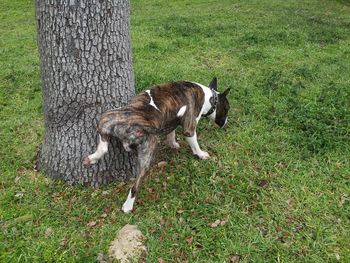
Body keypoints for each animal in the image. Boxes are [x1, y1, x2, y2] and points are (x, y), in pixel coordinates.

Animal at [82, 77, 230, 213]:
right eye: (227, 108)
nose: (226, 123)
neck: (208, 96)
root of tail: (134, 124)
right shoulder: (190, 128)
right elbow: (194, 144)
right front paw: (201, 154)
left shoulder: (172, 120)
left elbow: (171, 132)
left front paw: (173, 143)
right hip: (146, 146)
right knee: (134, 185)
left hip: (107, 119)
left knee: (104, 148)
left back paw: (92, 159)